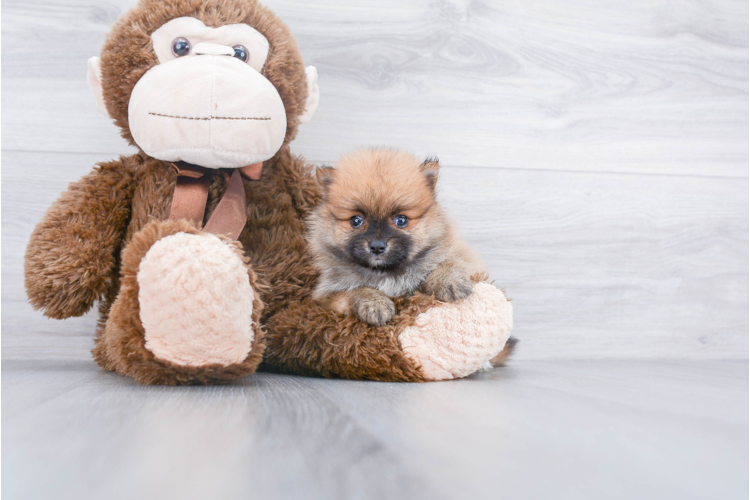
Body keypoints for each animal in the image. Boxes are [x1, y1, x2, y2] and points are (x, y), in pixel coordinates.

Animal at [308, 147, 484, 328]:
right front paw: (374, 303)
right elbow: (356, 289)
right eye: (356, 221)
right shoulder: (326, 296)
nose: (377, 246)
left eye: (401, 220)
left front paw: (449, 280)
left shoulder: (461, 258)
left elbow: (444, 264)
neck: (385, 273)